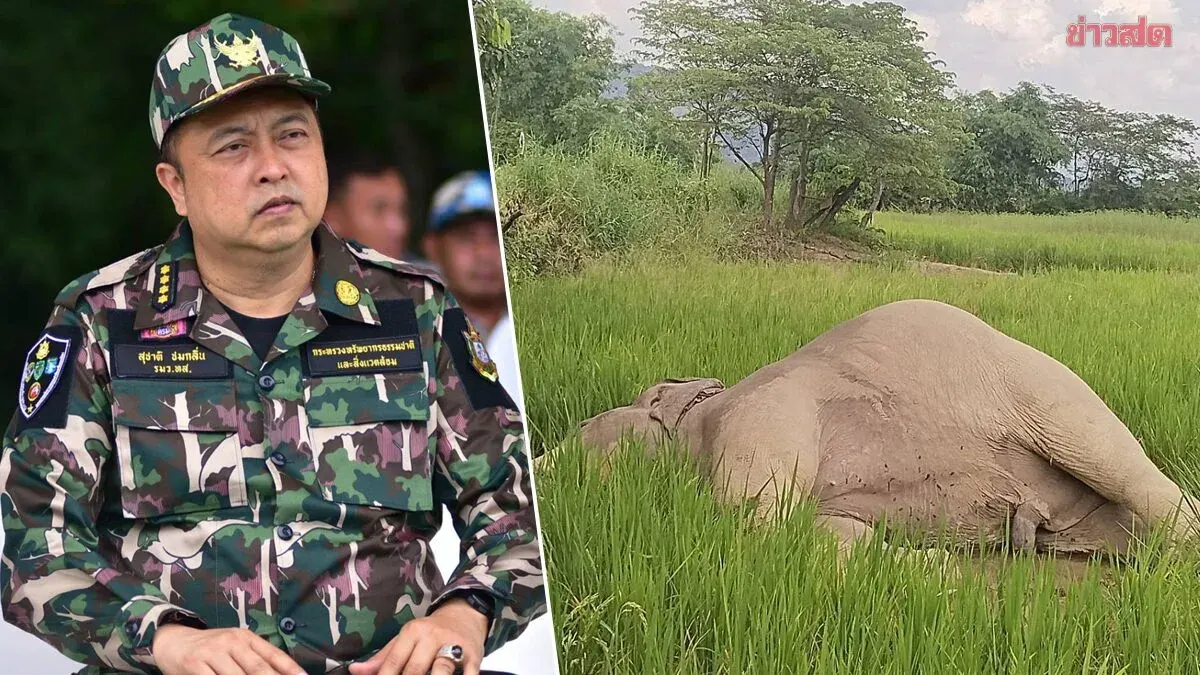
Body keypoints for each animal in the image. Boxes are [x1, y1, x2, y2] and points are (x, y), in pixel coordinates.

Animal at [574, 299, 1200, 557]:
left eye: (586, 428)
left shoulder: (763, 415)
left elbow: (759, 527)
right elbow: (821, 534)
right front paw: (936, 572)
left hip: (1046, 391)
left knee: (1119, 466)